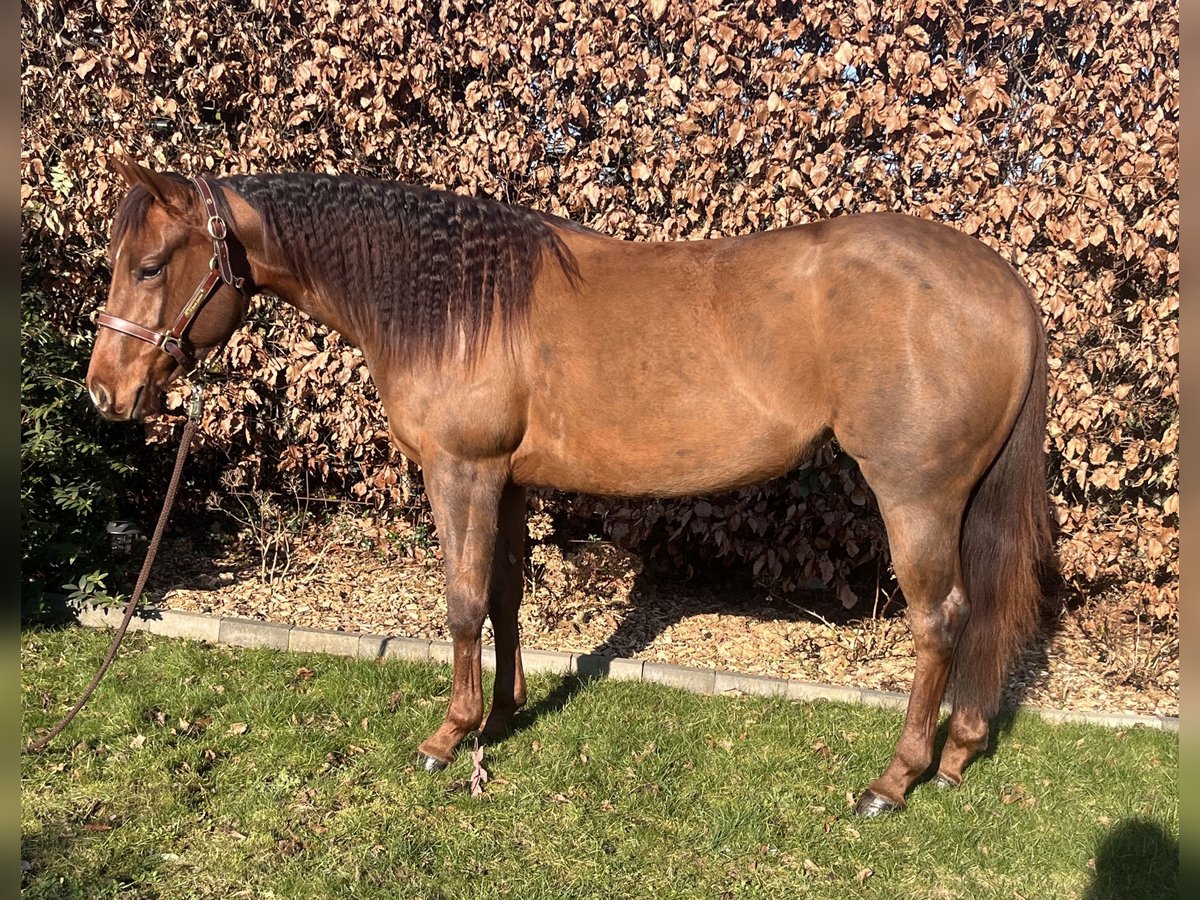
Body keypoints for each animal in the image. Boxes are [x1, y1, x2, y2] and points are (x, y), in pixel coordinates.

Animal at [88, 158, 1051, 820]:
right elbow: (506, 595)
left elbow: (462, 603)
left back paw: (894, 780)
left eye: (150, 265)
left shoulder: (461, 472)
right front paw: (503, 715)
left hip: (916, 496)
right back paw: (957, 757)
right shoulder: (507, 482)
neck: (454, 302)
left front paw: (449, 735)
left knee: (939, 620)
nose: (106, 392)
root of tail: (1002, 283)